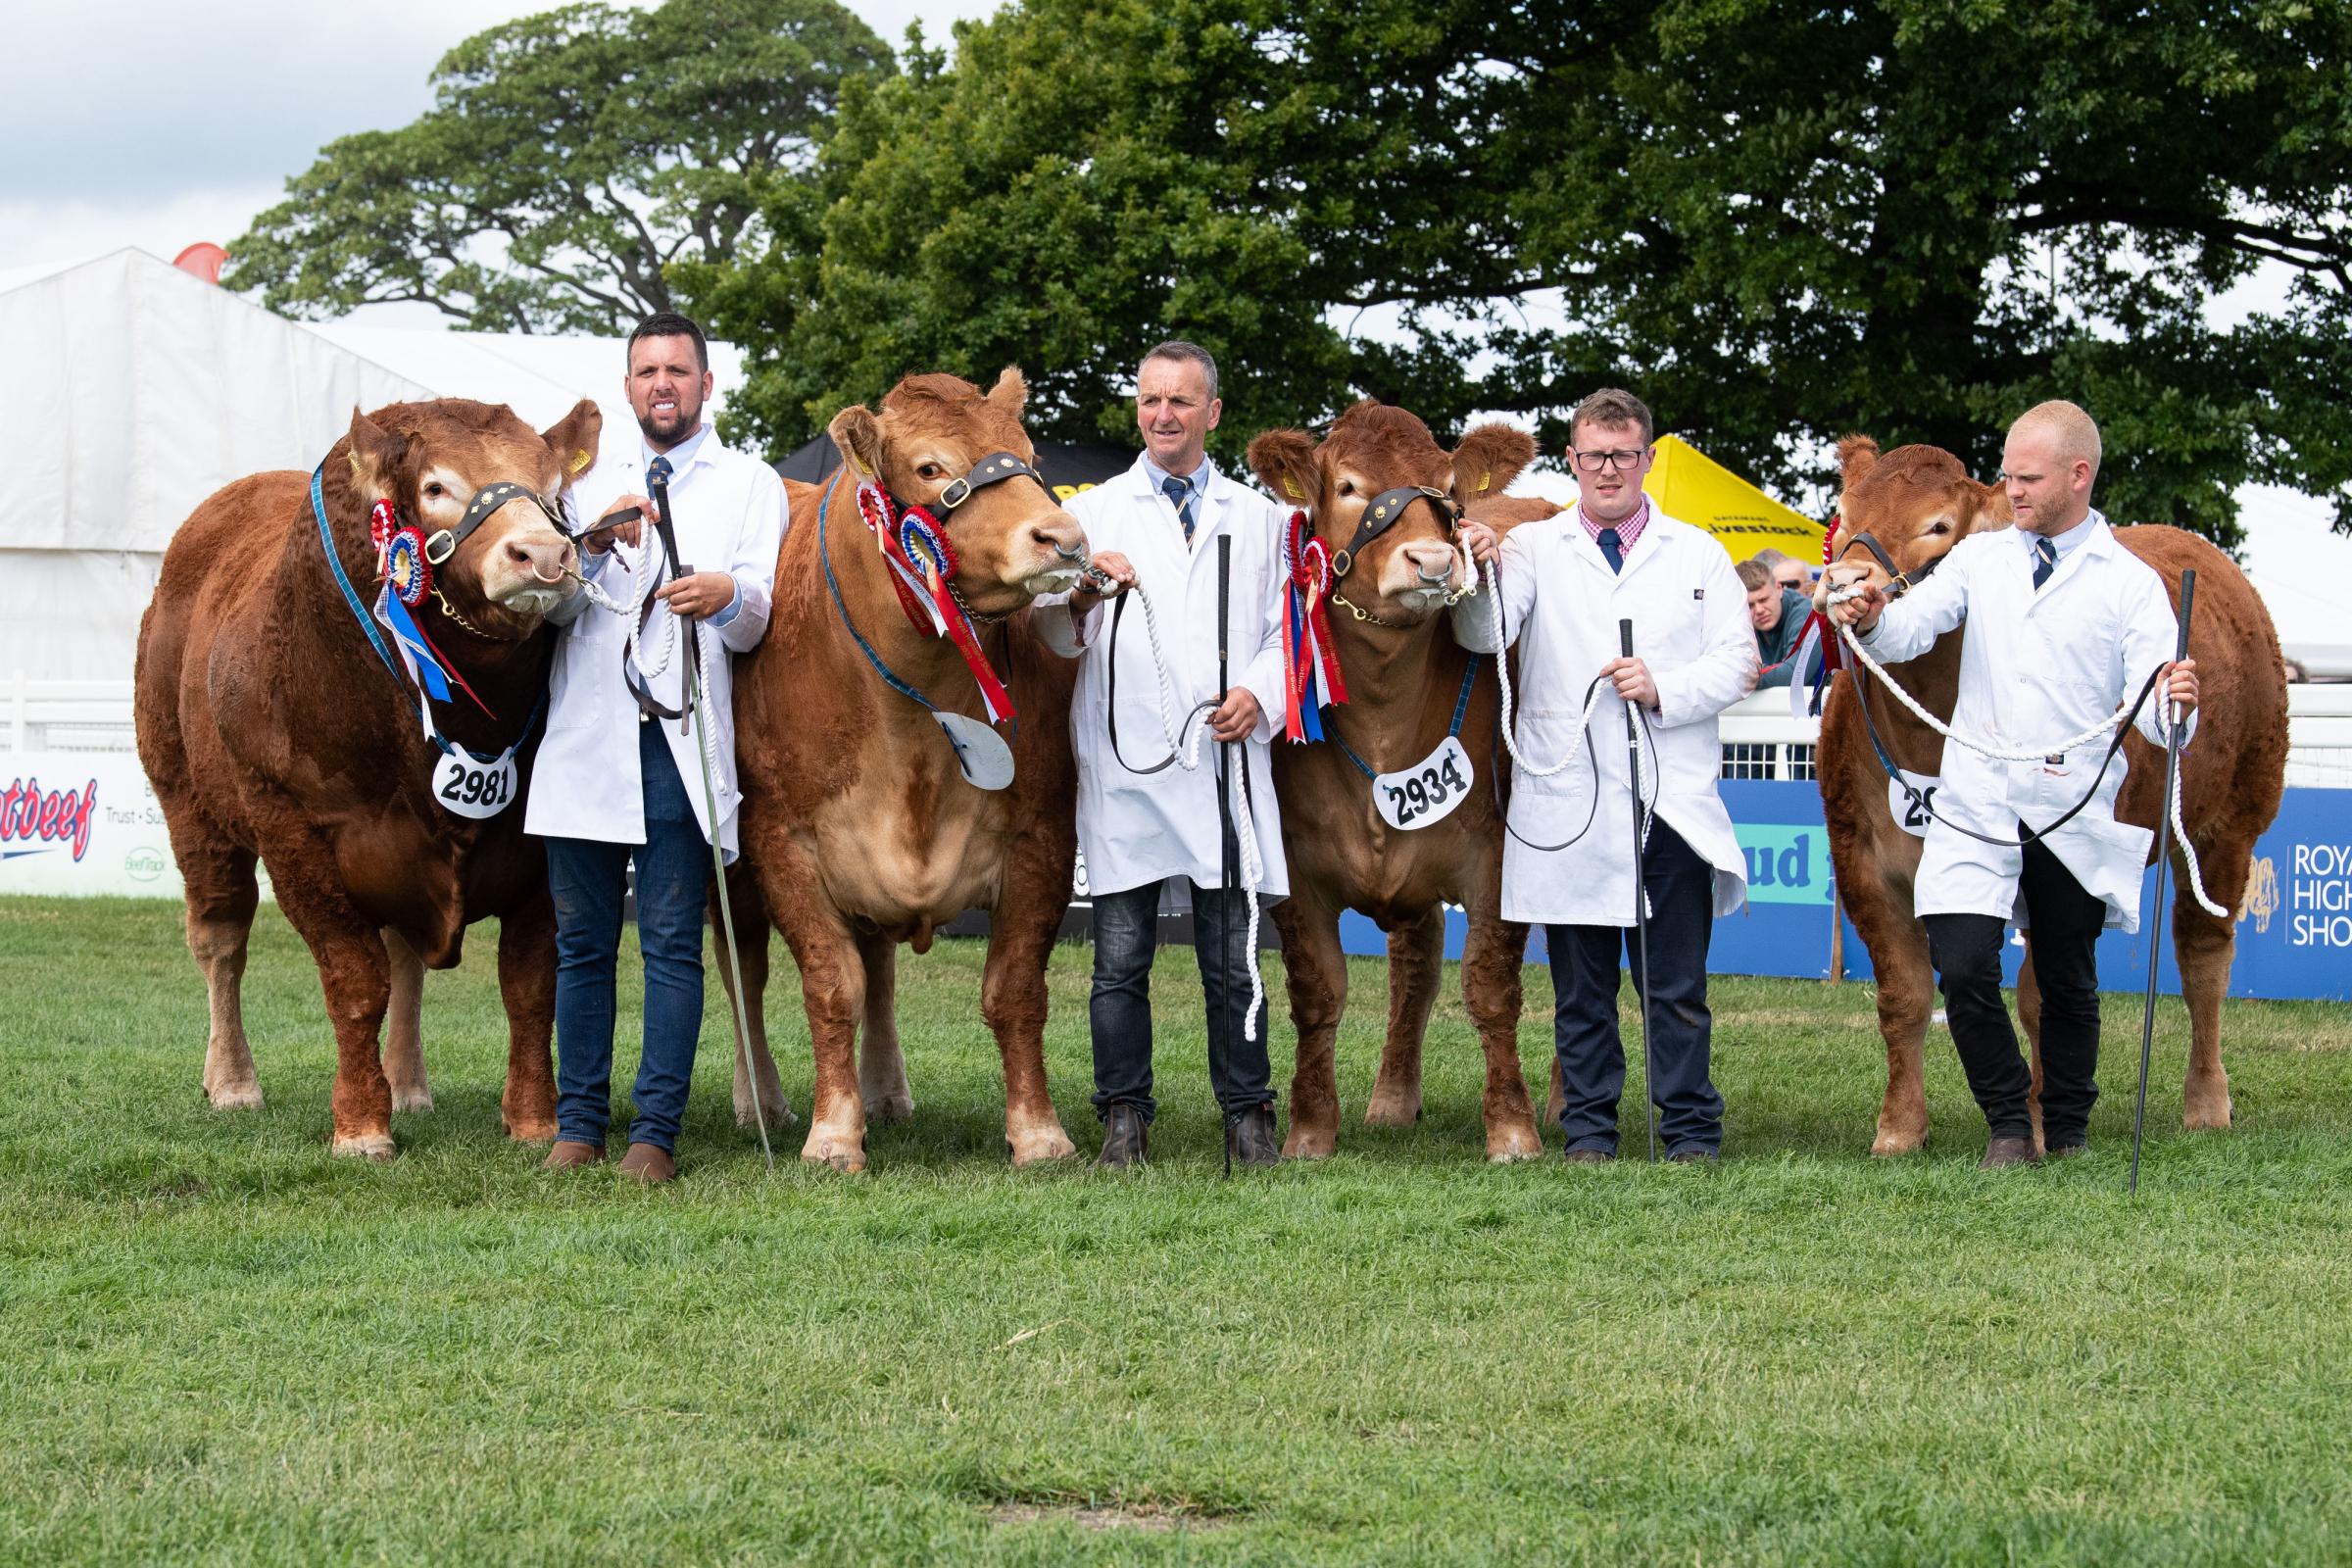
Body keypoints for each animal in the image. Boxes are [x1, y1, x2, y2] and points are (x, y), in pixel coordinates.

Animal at [133, 394, 602, 1152]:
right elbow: (355, 980)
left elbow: (530, 984)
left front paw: (535, 1120)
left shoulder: (541, 842)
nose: (544, 553)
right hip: (190, 805)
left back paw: (407, 1084)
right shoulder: (295, 831)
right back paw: (232, 1081)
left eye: (556, 491)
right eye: (435, 486)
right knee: (220, 940)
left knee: (406, 958)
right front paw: (359, 1126)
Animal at [719, 371, 1086, 1165]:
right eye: (929, 466)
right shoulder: (781, 842)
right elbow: (831, 986)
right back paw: (760, 1101)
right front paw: (833, 1134)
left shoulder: (1042, 834)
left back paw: (885, 1093)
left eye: (1029, 455)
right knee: (746, 978)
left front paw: (1039, 1132)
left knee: (881, 971)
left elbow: (1014, 990)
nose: (1064, 538)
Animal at [1242, 404, 1552, 1165]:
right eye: (1348, 486)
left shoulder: (1498, 855)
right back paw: (1391, 1099)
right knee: (1414, 966)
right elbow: (1318, 991)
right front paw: (1310, 1130)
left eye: (1448, 487)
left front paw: (1513, 1128)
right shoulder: (1295, 866)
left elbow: (1491, 986)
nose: (1434, 562)